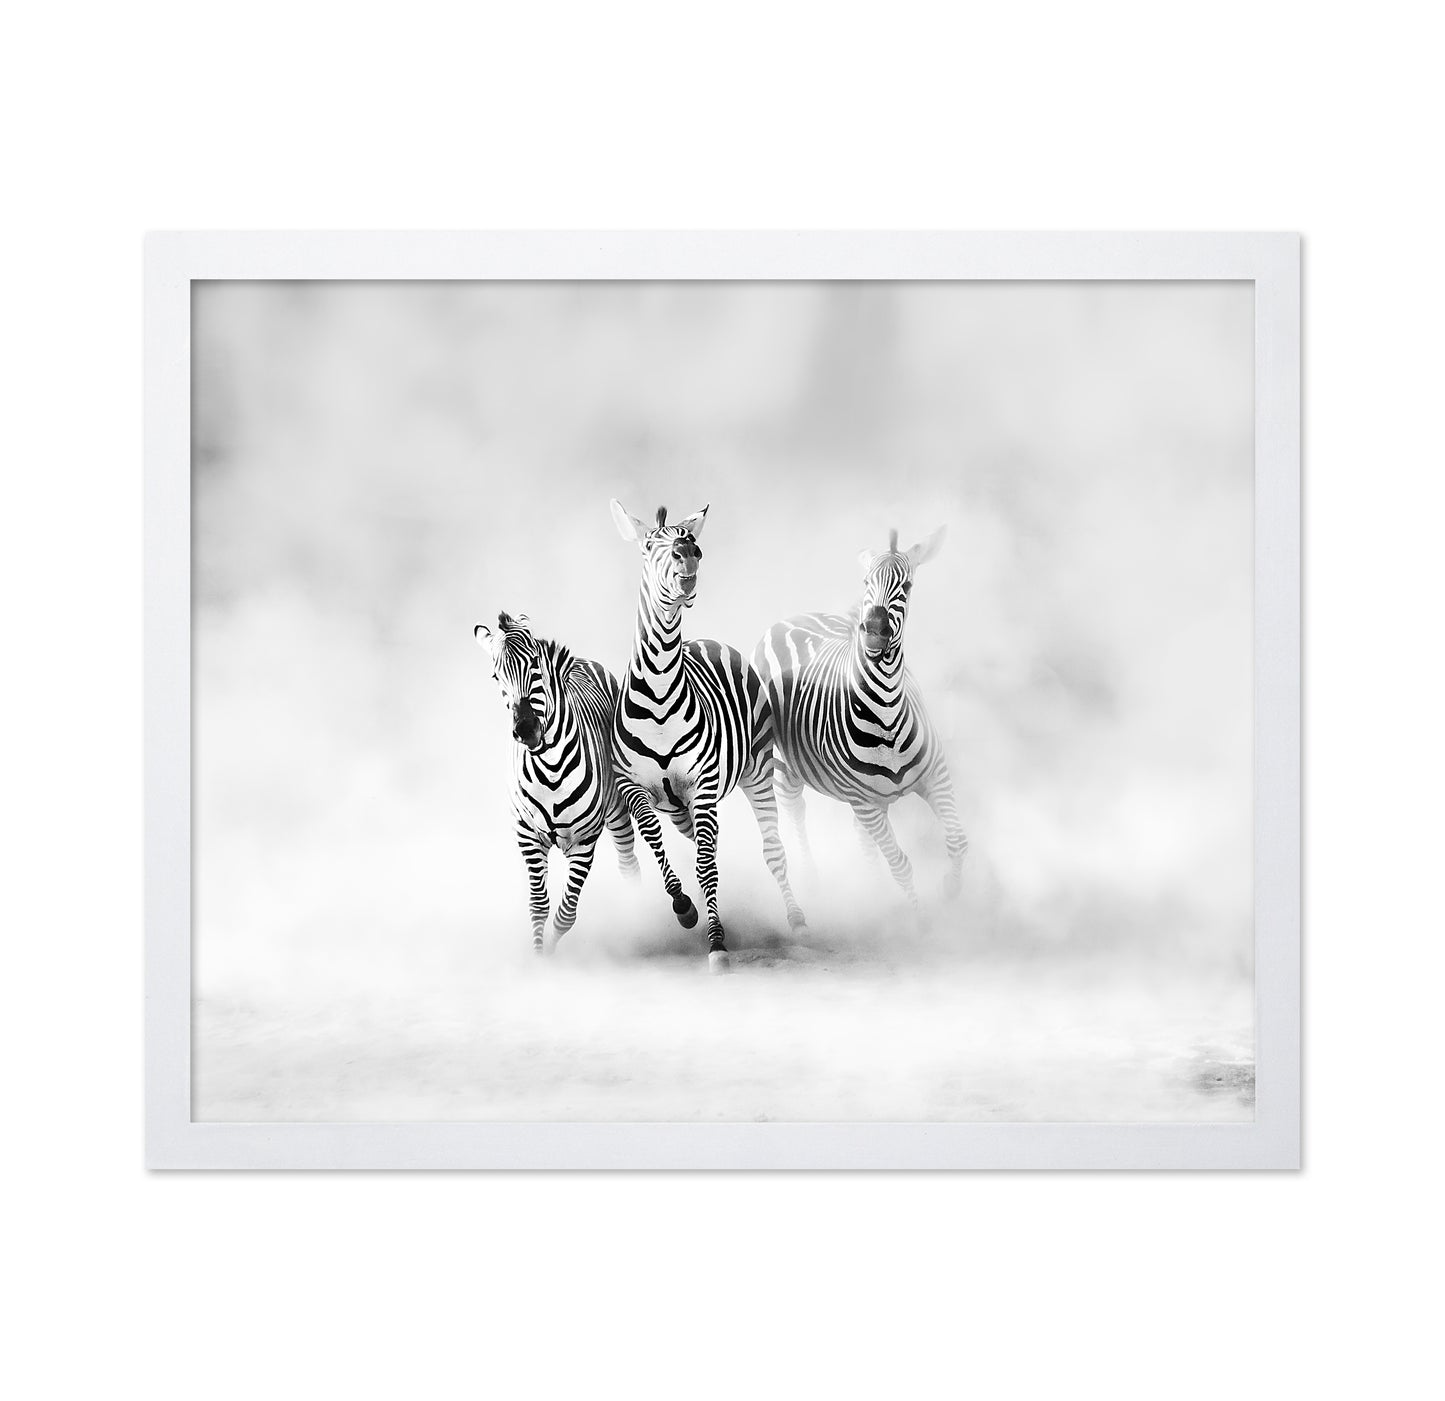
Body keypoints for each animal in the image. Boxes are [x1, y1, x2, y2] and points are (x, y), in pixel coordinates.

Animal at [474, 611, 640, 953]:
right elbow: (539, 905)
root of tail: (581, 661)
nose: (525, 729)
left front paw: (550, 950)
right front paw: (541, 957)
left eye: (535, 663)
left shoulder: (584, 840)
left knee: (629, 864)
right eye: (496, 677)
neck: (550, 768)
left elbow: (566, 913)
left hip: (617, 809)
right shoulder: (527, 836)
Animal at [610, 500, 807, 972]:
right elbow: (656, 840)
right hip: (680, 806)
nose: (690, 554)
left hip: (756, 770)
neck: (660, 691)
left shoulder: (701, 784)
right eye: (649, 546)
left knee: (771, 848)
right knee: (698, 841)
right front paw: (684, 908)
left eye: (689, 539)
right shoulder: (633, 787)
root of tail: (709, 641)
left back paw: (796, 921)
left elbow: (705, 865)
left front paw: (717, 942)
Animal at [753, 527, 967, 909]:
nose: (874, 631)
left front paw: (950, 889)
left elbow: (957, 839)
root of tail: (791, 619)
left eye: (907, 585)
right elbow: (900, 864)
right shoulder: (865, 802)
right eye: (866, 581)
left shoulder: (935, 775)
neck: (886, 712)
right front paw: (919, 917)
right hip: (784, 763)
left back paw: (873, 889)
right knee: (795, 808)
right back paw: (813, 882)